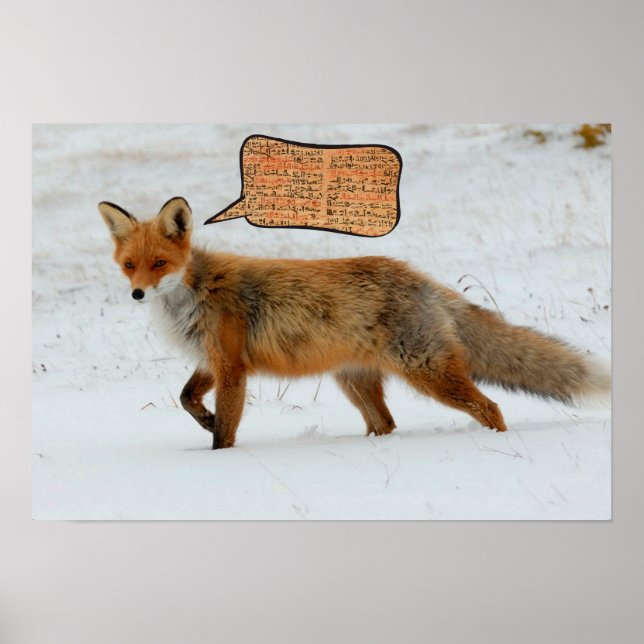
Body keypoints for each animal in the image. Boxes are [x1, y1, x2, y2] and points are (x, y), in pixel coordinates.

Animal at [99, 196, 610, 449]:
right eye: (130, 265)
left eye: (160, 263)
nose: (138, 293)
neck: (194, 293)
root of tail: (421, 279)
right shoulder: (215, 360)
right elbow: (187, 398)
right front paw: (203, 421)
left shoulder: (232, 367)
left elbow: (225, 432)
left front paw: (217, 453)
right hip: (354, 382)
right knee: (386, 424)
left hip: (427, 373)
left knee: (492, 408)